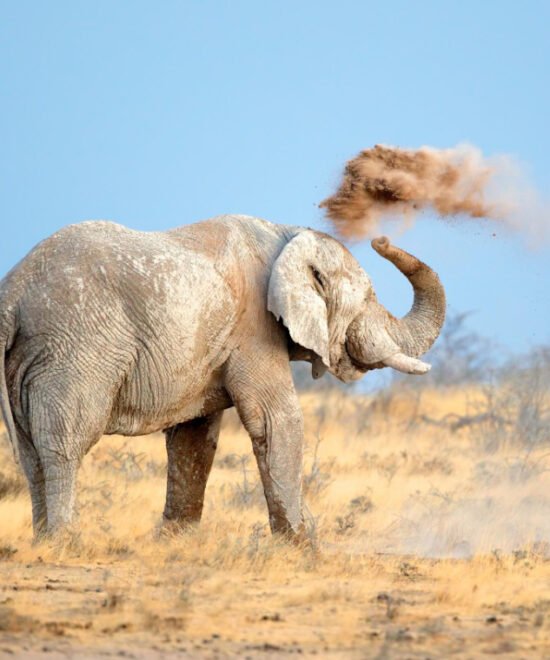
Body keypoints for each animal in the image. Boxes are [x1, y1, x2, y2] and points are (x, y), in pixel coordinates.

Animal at [0, 214, 445, 539]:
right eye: (368, 298)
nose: (380, 239)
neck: (286, 234)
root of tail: (12, 291)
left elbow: (194, 439)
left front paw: (177, 544)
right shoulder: (254, 330)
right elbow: (277, 420)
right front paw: (305, 548)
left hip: (30, 357)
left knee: (30, 453)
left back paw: (44, 541)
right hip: (76, 349)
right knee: (65, 443)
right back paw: (67, 542)